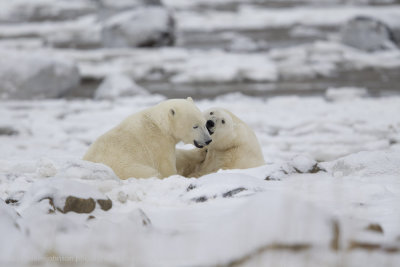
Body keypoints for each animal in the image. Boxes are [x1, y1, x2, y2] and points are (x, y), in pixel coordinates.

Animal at [83, 98, 211, 180]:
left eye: (205, 123)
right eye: (195, 126)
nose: (208, 140)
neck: (158, 124)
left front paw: (202, 152)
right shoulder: (158, 144)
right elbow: (167, 168)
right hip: (128, 168)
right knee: (152, 173)